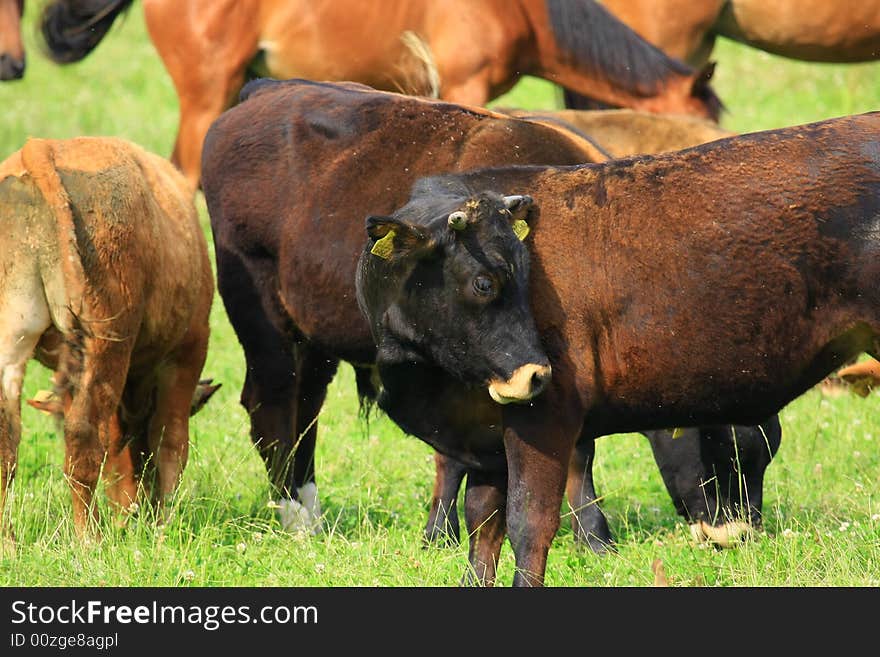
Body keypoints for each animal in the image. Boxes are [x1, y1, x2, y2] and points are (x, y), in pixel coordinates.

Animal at [0, 135, 213, 540]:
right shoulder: (187, 351)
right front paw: (164, 523)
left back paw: (10, 543)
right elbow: (172, 441)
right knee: (83, 437)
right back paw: (90, 537)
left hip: (14, 342)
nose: (131, 510)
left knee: (7, 441)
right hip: (105, 342)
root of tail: (42, 148)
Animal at [358, 111, 880, 584]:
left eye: (525, 275)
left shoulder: (545, 417)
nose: (535, 373)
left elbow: (529, 523)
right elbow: (482, 526)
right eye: (484, 282)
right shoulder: (483, 441)